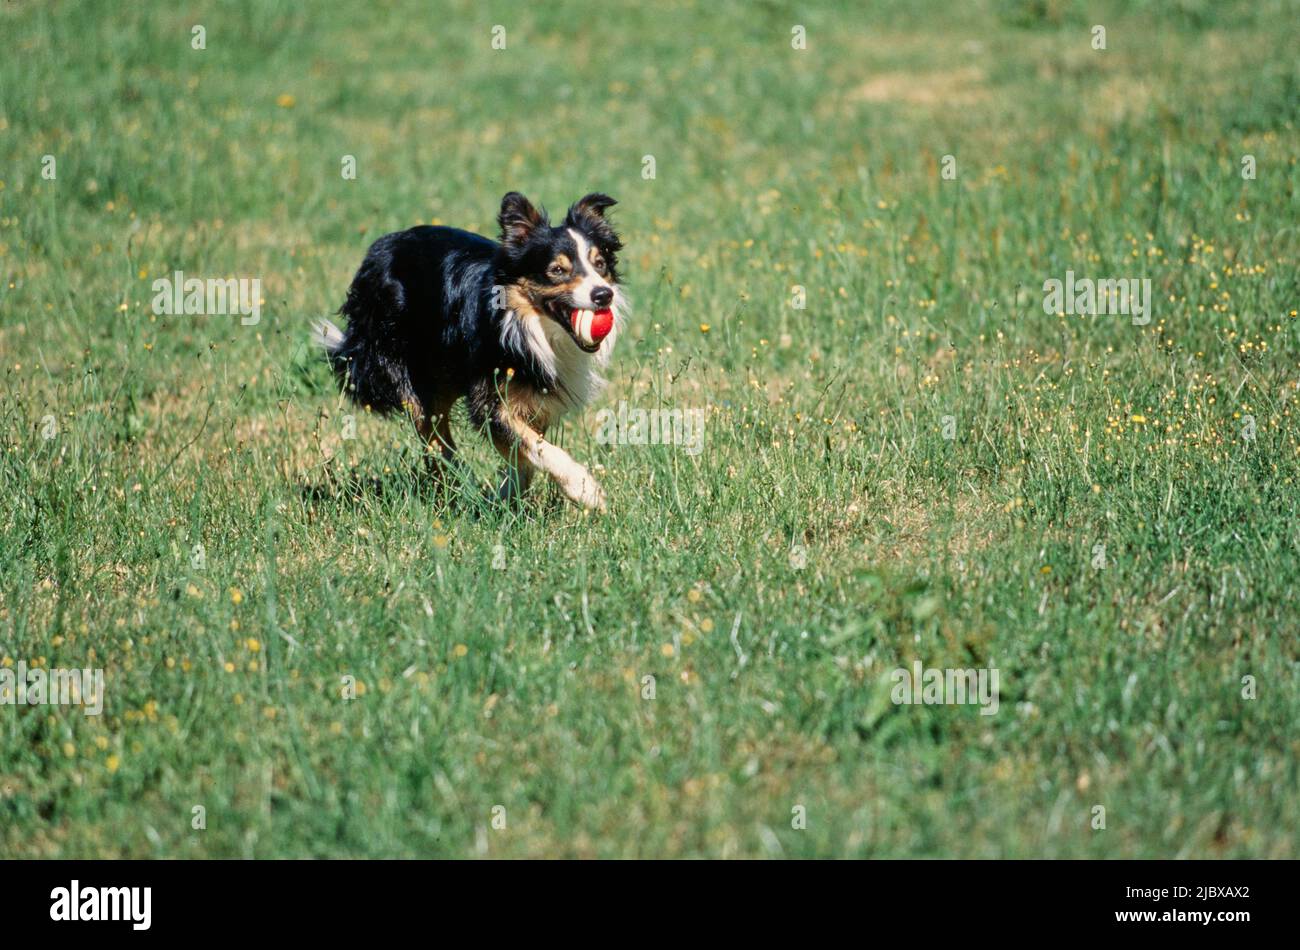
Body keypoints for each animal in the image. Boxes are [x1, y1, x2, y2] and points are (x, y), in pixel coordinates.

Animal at [312, 188, 621, 509]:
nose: (603, 295)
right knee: (430, 433)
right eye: (557, 270)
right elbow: (538, 447)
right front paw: (585, 489)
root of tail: (380, 248)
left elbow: (524, 452)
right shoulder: (492, 398)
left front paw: (507, 499)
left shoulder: (533, 397)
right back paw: (453, 484)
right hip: (404, 366)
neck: (525, 324)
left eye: (599, 264)